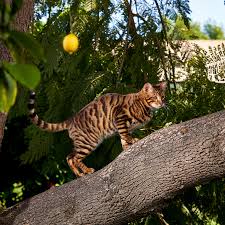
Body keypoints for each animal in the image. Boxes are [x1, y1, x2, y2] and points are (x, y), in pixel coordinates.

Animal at [28, 81, 166, 177]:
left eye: (163, 97)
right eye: (154, 97)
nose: (161, 103)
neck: (144, 105)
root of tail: (71, 119)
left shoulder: (126, 126)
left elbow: (123, 138)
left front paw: (127, 147)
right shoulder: (120, 116)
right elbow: (125, 135)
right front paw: (133, 141)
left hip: (82, 142)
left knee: (69, 157)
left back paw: (79, 174)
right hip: (89, 142)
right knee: (75, 158)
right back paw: (87, 170)